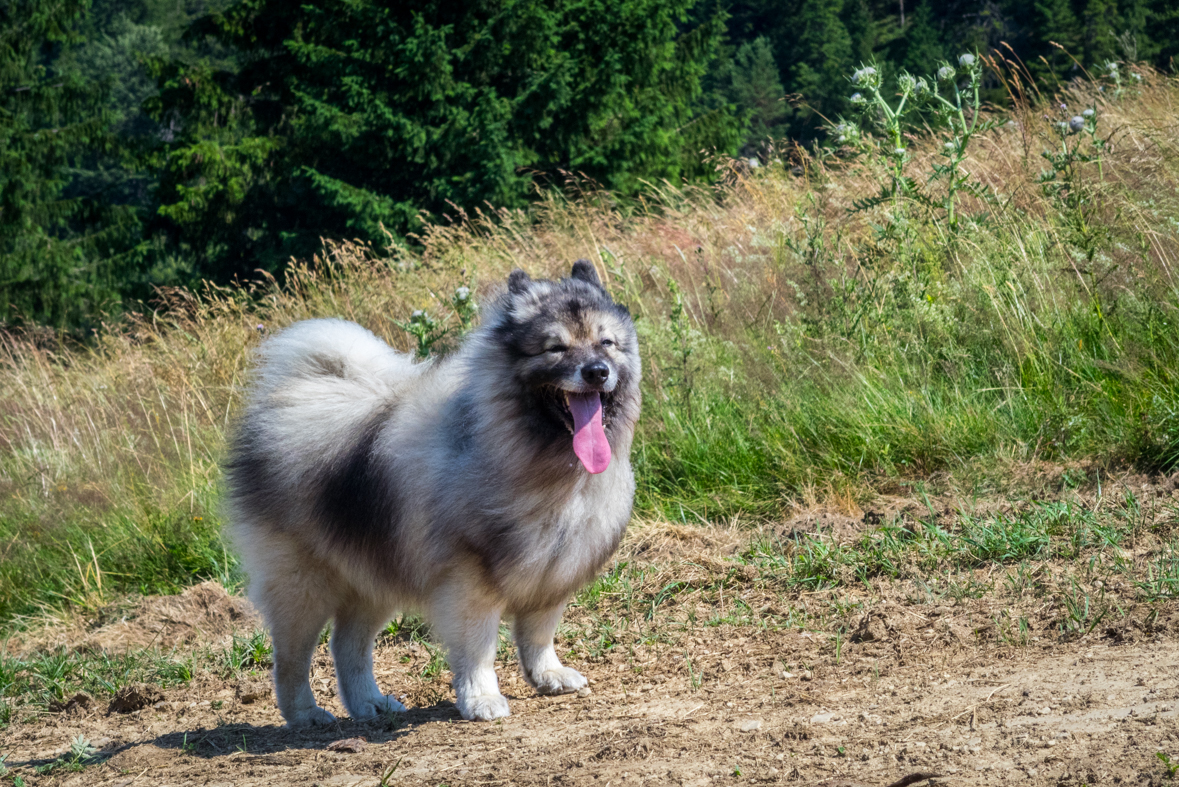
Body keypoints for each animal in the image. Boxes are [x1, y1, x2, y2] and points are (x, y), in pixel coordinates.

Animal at [225, 259, 641, 725]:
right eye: (555, 348)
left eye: (606, 343)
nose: (597, 371)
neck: (541, 461)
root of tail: (294, 395)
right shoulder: (469, 580)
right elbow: (478, 647)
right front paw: (481, 698)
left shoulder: (552, 569)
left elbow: (538, 633)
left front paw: (548, 675)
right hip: (303, 583)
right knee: (292, 657)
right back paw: (305, 714)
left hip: (372, 576)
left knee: (348, 644)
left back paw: (369, 703)